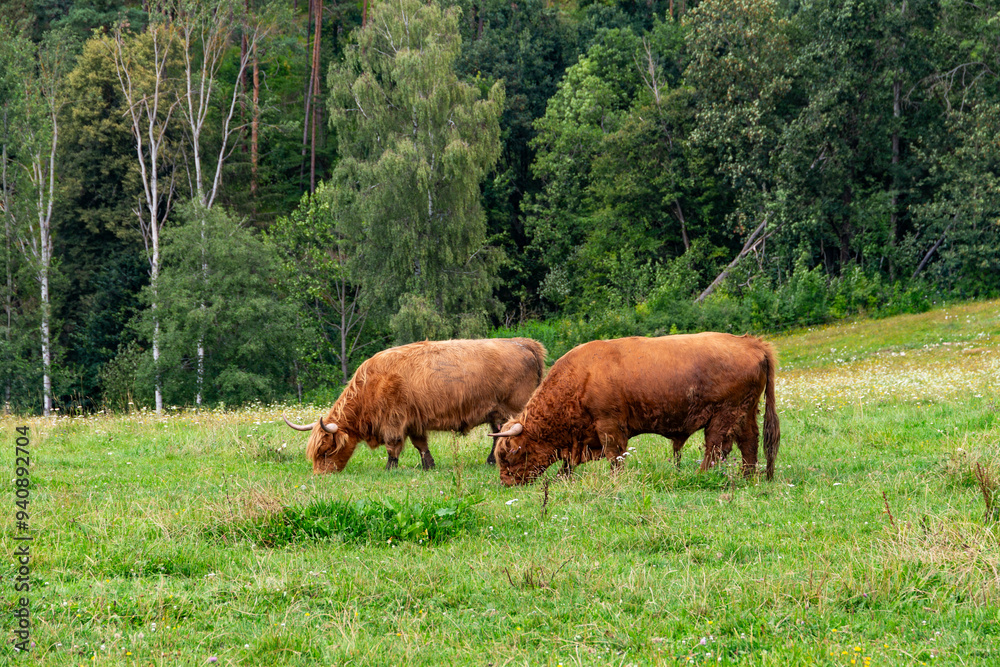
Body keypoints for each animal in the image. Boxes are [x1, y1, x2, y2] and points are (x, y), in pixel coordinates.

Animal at [283, 338, 547, 473]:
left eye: (326, 450)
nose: (319, 475)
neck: (370, 386)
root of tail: (524, 343)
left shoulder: (393, 419)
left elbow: (393, 446)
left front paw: (390, 468)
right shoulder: (414, 421)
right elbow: (421, 445)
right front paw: (428, 465)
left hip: (513, 407)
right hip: (496, 411)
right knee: (497, 434)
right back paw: (491, 460)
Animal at [490, 333, 780, 486]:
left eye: (509, 455)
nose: (506, 483)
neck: (579, 379)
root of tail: (752, 343)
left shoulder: (609, 427)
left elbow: (614, 457)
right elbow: (569, 464)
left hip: (725, 416)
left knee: (716, 448)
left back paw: (700, 476)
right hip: (746, 413)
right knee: (749, 443)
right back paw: (747, 477)